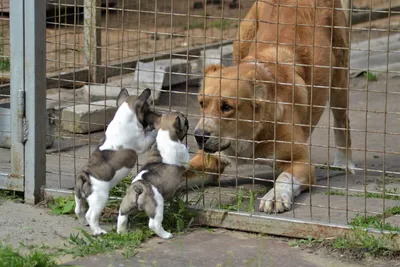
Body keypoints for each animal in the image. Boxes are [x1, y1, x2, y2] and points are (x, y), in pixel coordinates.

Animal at [72, 88, 160, 237]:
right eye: (147, 109)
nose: (150, 117)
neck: (123, 117)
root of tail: (84, 176)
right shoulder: (142, 143)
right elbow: (150, 136)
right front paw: (155, 130)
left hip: (79, 196)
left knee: (79, 209)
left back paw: (84, 223)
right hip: (99, 198)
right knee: (91, 215)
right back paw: (98, 231)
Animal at [116, 112, 190, 240]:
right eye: (185, 121)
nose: (187, 121)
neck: (165, 133)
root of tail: (139, 187)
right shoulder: (183, 155)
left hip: (126, 204)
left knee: (122, 217)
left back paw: (122, 233)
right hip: (157, 205)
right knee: (154, 224)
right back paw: (166, 235)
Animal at [187, 0, 354, 214]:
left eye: (227, 107)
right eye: (202, 103)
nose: (199, 136)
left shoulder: (301, 163)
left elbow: (284, 178)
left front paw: (275, 196)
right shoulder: (207, 160)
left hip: (339, 79)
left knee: (342, 121)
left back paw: (344, 163)